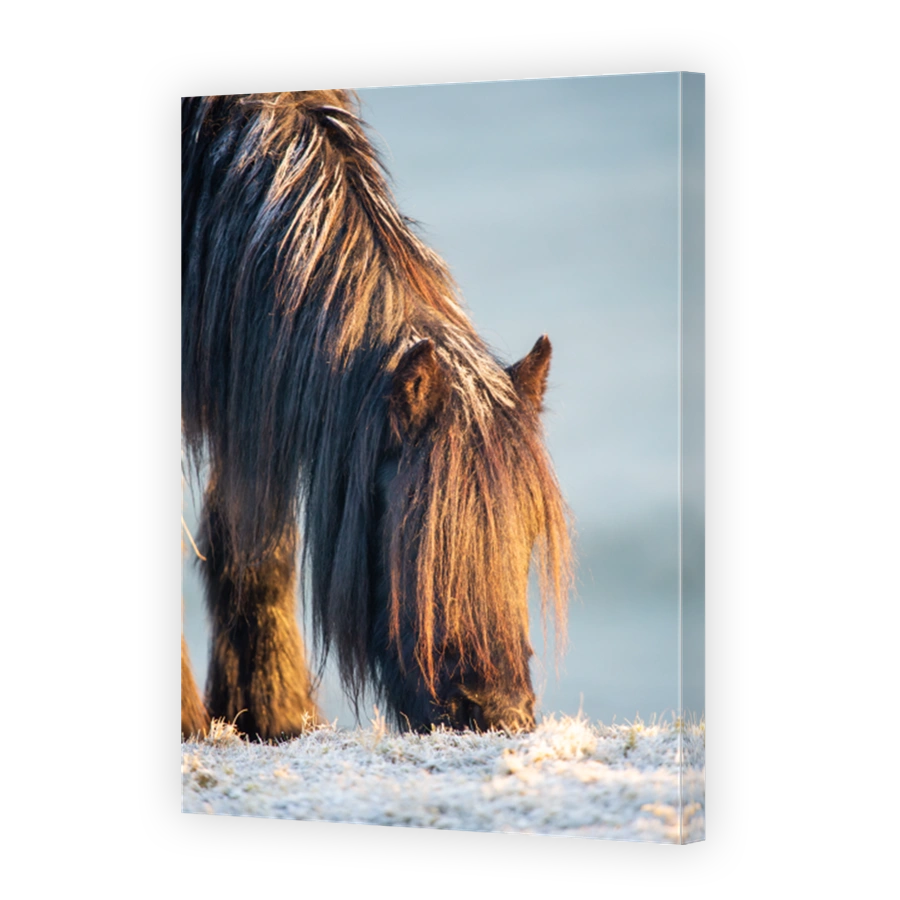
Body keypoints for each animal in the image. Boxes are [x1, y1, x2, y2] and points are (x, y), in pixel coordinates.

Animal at [181, 90, 572, 741]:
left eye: (529, 530)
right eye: (421, 530)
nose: (498, 716)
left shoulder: (252, 401)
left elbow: (254, 548)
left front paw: (275, 717)